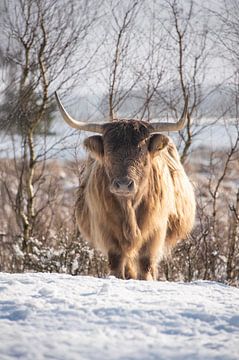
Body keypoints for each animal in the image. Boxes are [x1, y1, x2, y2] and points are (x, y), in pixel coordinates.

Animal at [55, 91, 195, 280]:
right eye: (108, 150)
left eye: (141, 150)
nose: (123, 184)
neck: (129, 207)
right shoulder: (107, 231)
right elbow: (116, 262)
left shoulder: (155, 231)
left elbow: (146, 264)